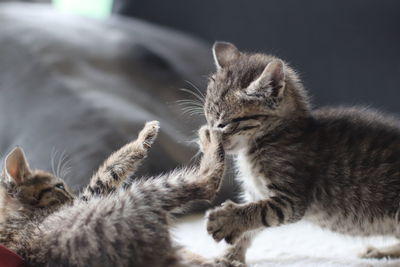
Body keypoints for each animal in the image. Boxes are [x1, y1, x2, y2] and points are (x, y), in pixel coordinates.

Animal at [0, 122, 228, 266]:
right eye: (60, 187)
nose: (72, 198)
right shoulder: (90, 196)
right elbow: (109, 170)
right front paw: (143, 137)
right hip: (141, 195)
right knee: (207, 183)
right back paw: (211, 136)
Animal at [203, 41, 400, 264]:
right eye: (207, 117)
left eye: (223, 123)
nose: (209, 137)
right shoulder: (258, 193)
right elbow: (249, 229)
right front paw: (228, 257)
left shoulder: (291, 199)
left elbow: (258, 212)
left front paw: (226, 220)